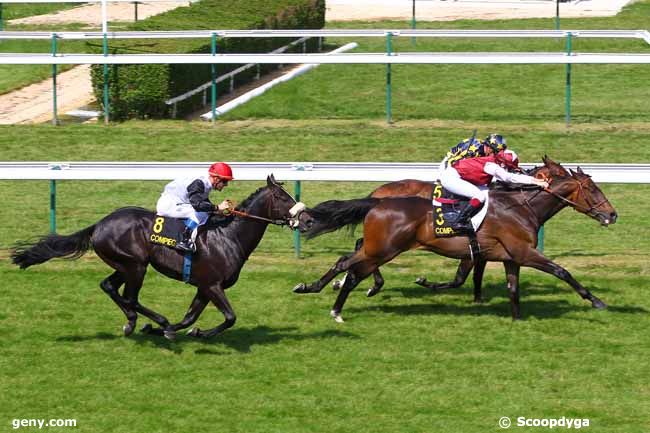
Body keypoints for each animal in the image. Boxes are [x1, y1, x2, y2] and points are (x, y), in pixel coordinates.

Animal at [11, 174, 312, 340]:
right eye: (283, 197)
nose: (308, 219)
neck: (228, 236)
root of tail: (99, 225)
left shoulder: (203, 287)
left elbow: (190, 318)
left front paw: (175, 330)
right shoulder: (212, 285)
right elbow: (230, 318)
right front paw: (187, 331)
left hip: (125, 265)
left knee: (109, 286)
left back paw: (133, 322)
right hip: (136, 266)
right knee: (130, 297)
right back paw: (153, 320)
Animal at [296, 157, 616, 318]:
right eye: (593, 189)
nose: (612, 215)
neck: (520, 206)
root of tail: (377, 199)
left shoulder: (506, 256)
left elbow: (506, 287)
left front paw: (514, 317)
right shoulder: (522, 253)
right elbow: (562, 271)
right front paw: (597, 301)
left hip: (380, 247)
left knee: (345, 260)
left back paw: (312, 287)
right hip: (384, 249)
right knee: (354, 270)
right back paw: (340, 305)